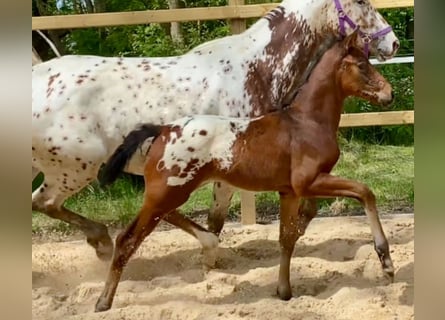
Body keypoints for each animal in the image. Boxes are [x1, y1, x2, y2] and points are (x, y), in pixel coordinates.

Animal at [32, 0, 398, 260]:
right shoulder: (231, 170)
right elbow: (218, 219)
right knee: (45, 202)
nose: (393, 43)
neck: (255, 69)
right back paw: (103, 241)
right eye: (361, 1)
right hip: (77, 168)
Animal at [95, 31, 394, 312]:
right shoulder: (307, 182)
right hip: (165, 193)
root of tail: (163, 130)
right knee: (126, 239)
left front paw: (284, 292)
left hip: (169, 194)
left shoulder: (289, 192)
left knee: (163, 219)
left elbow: (287, 238)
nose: (389, 94)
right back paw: (103, 302)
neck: (306, 123)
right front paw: (386, 262)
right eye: (362, 65)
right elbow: (364, 192)